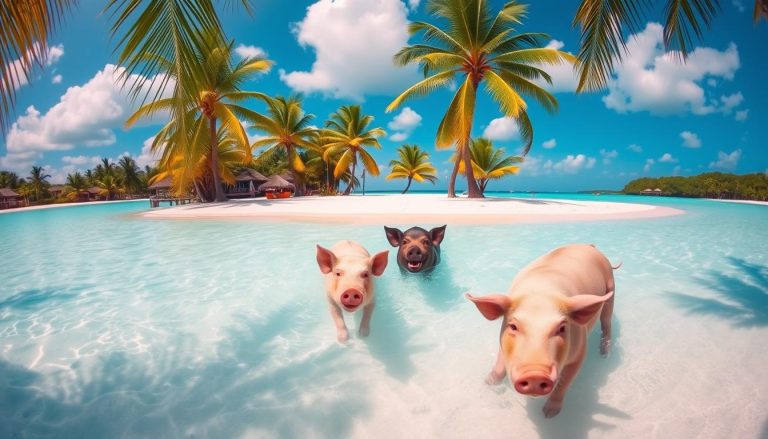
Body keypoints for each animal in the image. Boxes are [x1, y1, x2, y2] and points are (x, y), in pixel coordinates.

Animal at [466, 243, 619, 418]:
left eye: (561, 328)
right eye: (513, 326)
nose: (534, 374)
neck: (540, 293)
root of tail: (590, 246)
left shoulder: (580, 351)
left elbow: (564, 383)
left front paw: (549, 415)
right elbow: (499, 367)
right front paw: (487, 383)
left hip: (611, 288)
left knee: (606, 322)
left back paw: (604, 354)